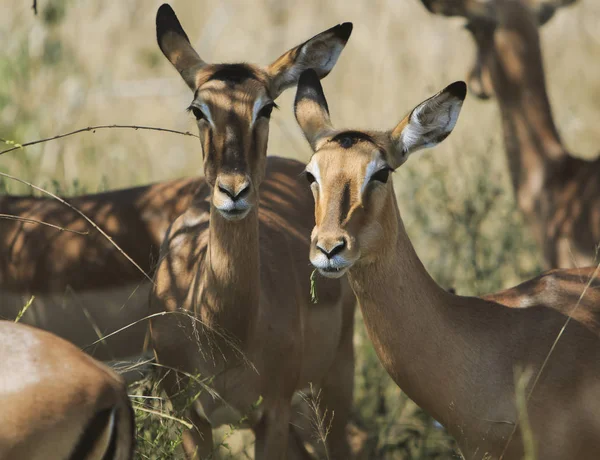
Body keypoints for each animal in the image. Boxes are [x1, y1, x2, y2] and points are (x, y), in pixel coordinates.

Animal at [150, 4, 356, 460]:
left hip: (334, 381)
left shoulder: (272, 412)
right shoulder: (191, 419)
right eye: (198, 109)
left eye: (266, 108)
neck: (222, 331)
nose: (233, 190)